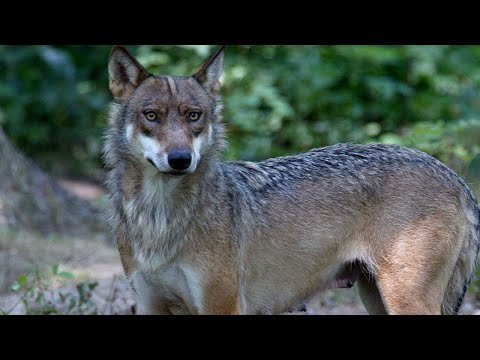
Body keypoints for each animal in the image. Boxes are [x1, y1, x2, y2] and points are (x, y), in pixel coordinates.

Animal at [104, 45, 480, 316]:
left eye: (193, 116)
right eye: (152, 115)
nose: (181, 159)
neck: (159, 217)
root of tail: (454, 176)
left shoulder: (222, 306)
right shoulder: (152, 305)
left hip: (404, 301)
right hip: (376, 299)